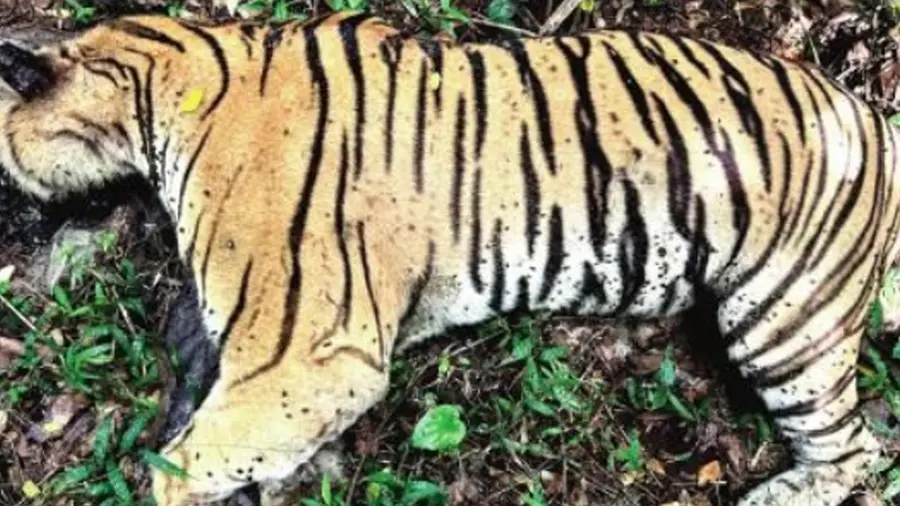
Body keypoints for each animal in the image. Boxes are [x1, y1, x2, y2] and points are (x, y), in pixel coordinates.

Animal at [0, 9, 896, 506]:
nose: (15, 219)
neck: (169, 90)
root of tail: (867, 111)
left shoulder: (312, 353)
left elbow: (182, 464)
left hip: (787, 319)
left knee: (856, 450)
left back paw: (777, 495)